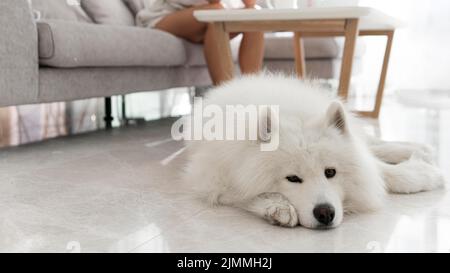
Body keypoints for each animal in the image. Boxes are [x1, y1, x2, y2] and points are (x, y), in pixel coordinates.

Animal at [181, 72, 444, 227]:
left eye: (330, 172)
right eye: (292, 178)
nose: (325, 213)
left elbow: (381, 171)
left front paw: (423, 174)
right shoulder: (212, 178)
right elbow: (244, 195)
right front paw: (277, 207)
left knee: (372, 144)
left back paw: (418, 148)